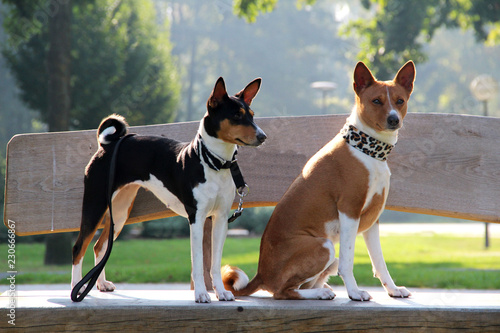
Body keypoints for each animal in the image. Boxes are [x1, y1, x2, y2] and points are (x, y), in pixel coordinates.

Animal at [71, 76, 266, 302]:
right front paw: (201, 294)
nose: (263, 136)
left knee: (100, 246)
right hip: (95, 204)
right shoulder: (196, 218)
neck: (213, 163)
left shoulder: (220, 219)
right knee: (79, 247)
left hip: (119, 212)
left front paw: (221, 292)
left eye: (252, 115)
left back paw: (101, 284)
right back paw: (76, 287)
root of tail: (108, 145)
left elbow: (215, 264)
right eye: (236, 115)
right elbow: (198, 263)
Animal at [222, 60, 414, 300]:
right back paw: (319, 294)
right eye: (376, 101)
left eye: (400, 101)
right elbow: (349, 261)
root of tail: (261, 274)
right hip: (324, 246)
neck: (367, 151)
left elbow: (380, 262)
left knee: (305, 285)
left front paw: (393, 289)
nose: (393, 119)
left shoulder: (372, 219)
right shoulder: (349, 210)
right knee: (283, 292)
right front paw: (354, 292)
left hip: (329, 255)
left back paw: (323, 290)